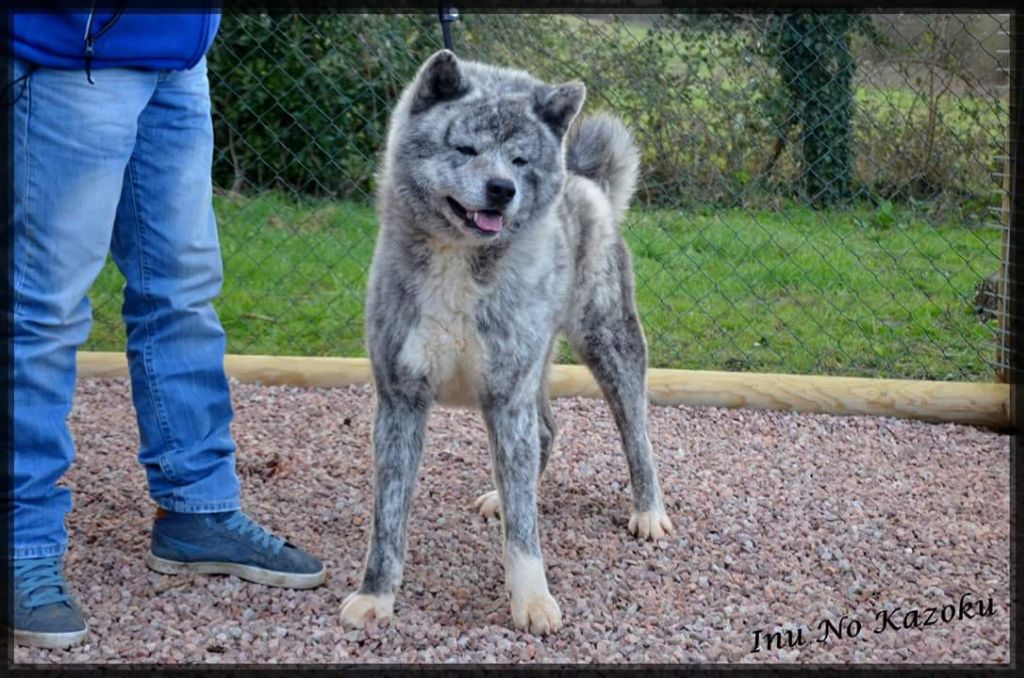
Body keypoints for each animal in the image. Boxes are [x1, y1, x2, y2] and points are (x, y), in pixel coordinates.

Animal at [340, 49, 673, 636]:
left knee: (636, 434)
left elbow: (524, 527)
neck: (460, 260)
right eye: (466, 149)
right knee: (546, 430)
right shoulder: (402, 401)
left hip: (609, 345)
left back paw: (648, 511)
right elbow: (388, 518)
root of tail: (585, 181)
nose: (502, 189)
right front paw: (375, 596)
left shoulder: (505, 396)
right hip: (532, 369)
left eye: (519, 160)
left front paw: (532, 600)